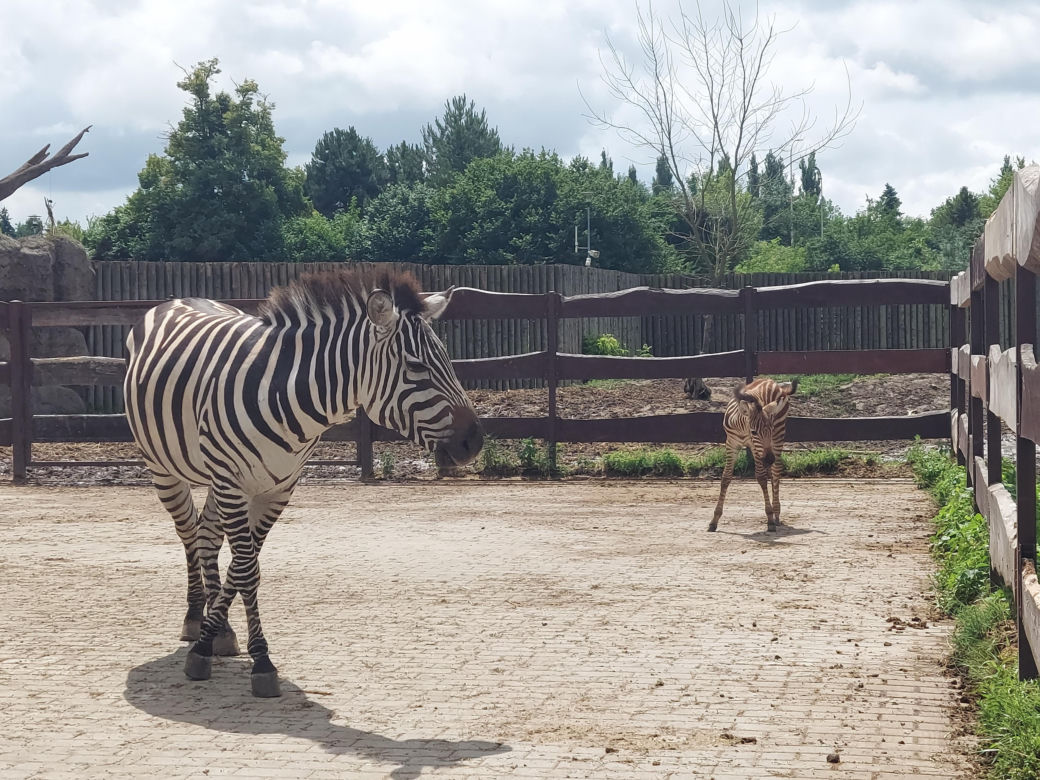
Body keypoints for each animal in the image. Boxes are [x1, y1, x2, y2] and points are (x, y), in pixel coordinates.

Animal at [124, 266, 484, 697]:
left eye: (446, 359)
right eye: (416, 367)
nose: (476, 441)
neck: (287, 396)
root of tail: (178, 298)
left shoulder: (277, 487)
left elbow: (244, 567)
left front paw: (215, 641)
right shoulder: (233, 482)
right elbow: (246, 569)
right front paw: (256, 661)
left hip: (218, 482)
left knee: (208, 537)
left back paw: (219, 629)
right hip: (165, 469)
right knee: (189, 535)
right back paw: (195, 618)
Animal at [708, 377, 798, 533]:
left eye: (770, 430)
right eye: (754, 432)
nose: (769, 459)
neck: (741, 428)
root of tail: (771, 381)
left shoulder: (756, 447)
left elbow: (761, 478)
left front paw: (770, 519)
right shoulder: (731, 443)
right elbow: (725, 478)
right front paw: (714, 520)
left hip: (778, 435)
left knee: (776, 471)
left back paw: (776, 513)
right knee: (772, 471)